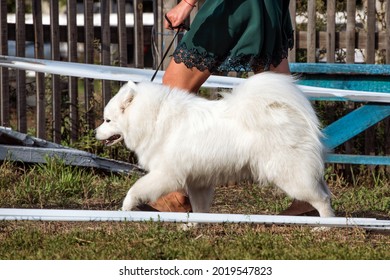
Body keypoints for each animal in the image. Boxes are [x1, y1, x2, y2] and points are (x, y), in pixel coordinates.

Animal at [95, 71, 336, 217]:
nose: (95, 132)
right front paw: (193, 226)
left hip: (290, 175)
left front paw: (125, 208)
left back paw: (324, 226)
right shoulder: (198, 181)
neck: (154, 118)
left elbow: (135, 189)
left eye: (107, 120)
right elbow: (200, 208)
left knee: (322, 199)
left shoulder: (166, 174)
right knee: (324, 192)